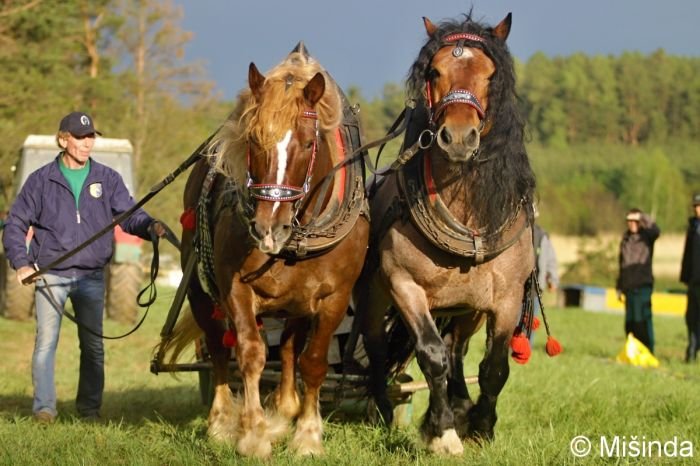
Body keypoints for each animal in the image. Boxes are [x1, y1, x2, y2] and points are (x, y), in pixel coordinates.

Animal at [160, 46, 369, 458]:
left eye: (309, 143)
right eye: (254, 140)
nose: (268, 228)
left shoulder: (335, 298)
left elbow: (313, 361)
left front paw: (307, 435)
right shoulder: (235, 286)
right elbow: (250, 354)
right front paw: (253, 432)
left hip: (297, 303)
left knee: (288, 348)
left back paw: (286, 407)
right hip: (200, 290)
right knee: (218, 346)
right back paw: (221, 421)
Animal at [355, 12, 537, 455]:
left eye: (490, 74)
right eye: (434, 71)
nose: (457, 138)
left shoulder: (506, 298)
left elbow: (493, 366)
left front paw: (481, 426)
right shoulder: (404, 285)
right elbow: (431, 355)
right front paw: (442, 432)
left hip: (467, 309)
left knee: (459, 349)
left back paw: (460, 403)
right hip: (374, 298)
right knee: (379, 348)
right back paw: (383, 411)